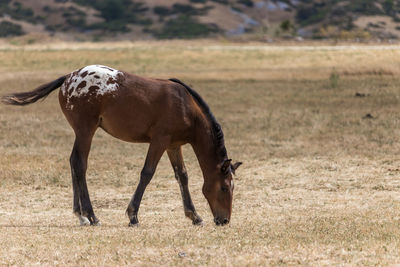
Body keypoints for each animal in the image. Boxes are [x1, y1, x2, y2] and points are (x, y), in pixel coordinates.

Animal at [2, 65, 241, 226]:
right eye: (224, 187)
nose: (224, 220)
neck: (186, 107)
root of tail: (68, 78)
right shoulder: (159, 141)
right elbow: (147, 173)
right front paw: (133, 215)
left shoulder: (174, 145)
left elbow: (182, 176)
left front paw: (194, 216)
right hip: (85, 130)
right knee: (79, 164)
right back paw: (91, 215)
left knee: (72, 162)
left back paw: (80, 215)